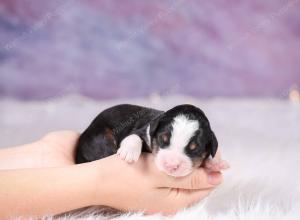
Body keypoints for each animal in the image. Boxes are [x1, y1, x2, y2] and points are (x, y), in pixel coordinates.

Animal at [75, 104, 223, 177]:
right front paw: (128, 153)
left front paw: (214, 163)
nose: (171, 165)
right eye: (163, 138)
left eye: (194, 148)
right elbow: (134, 136)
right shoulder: (142, 130)